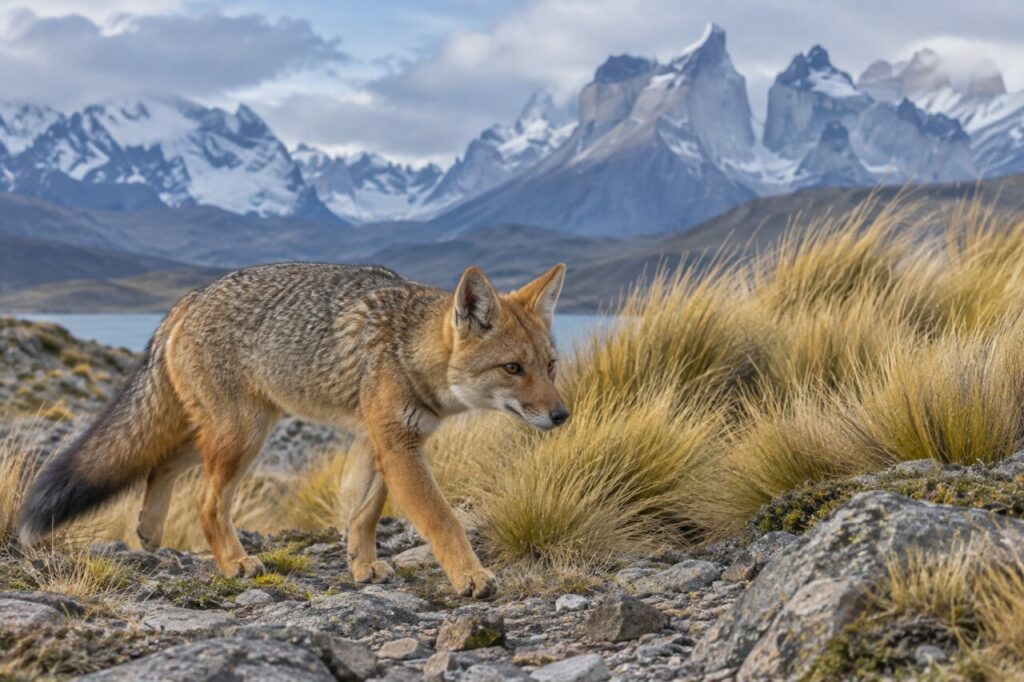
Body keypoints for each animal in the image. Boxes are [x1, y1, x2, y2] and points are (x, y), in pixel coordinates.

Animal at [18, 262, 569, 598]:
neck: (407, 348)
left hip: (232, 432)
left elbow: (364, 513)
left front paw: (361, 567)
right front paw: (470, 576)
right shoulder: (398, 447)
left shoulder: (381, 442)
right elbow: (442, 520)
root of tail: (191, 297)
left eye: (550, 366)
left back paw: (150, 529)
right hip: (242, 438)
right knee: (206, 503)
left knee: (161, 462)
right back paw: (234, 564)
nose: (562, 416)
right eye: (513, 369)